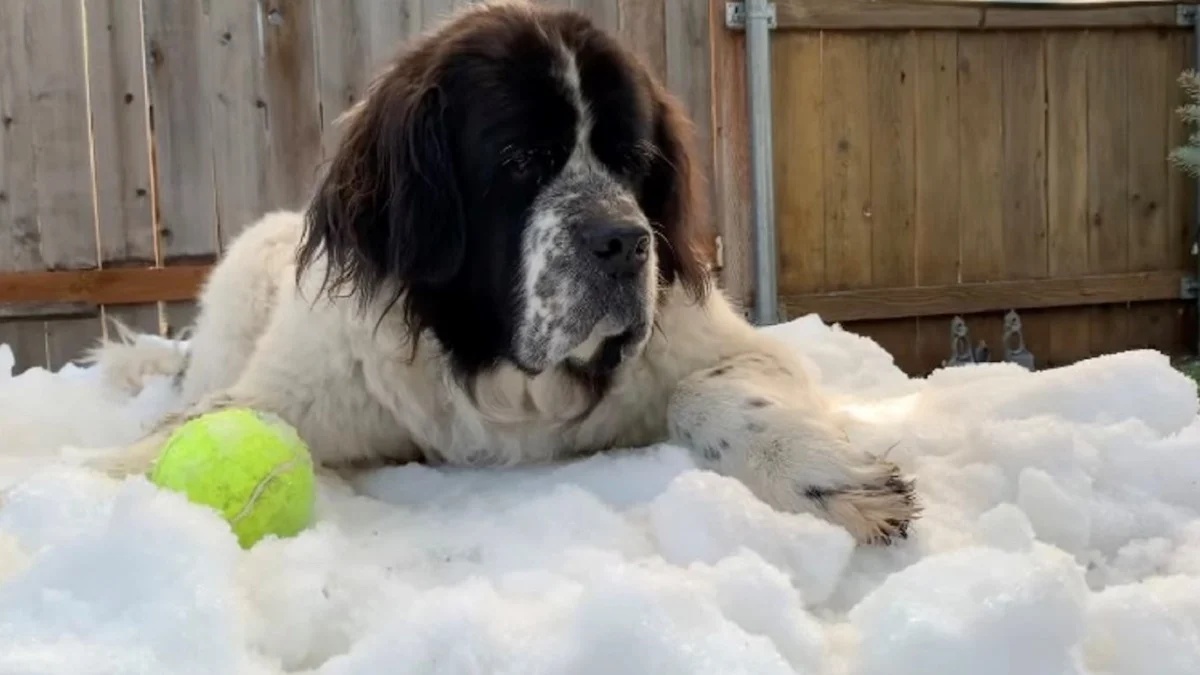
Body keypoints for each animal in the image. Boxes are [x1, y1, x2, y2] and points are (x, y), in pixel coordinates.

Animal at [87, 1, 916, 540]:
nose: (627, 242)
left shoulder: (723, 346)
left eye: (633, 161)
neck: (504, 373)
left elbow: (708, 390)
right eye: (521, 159)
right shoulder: (308, 382)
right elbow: (211, 424)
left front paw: (824, 476)